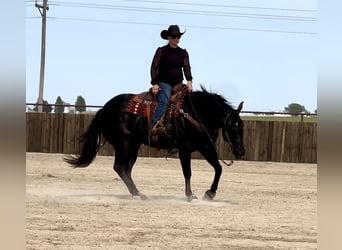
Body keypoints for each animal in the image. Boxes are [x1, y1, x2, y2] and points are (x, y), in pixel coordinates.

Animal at [65, 86, 246, 201]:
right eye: (233, 127)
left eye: (242, 126)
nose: (241, 152)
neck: (195, 113)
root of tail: (104, 109)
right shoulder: (184, 148)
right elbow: (187, 172)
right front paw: (190, 195)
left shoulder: (205, 147)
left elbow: (218, 168)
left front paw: (210, 193)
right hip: (123, 143)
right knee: (119, 167)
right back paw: (137, 193)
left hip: (134, 145)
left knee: (127, 169)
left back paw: (138, 193)